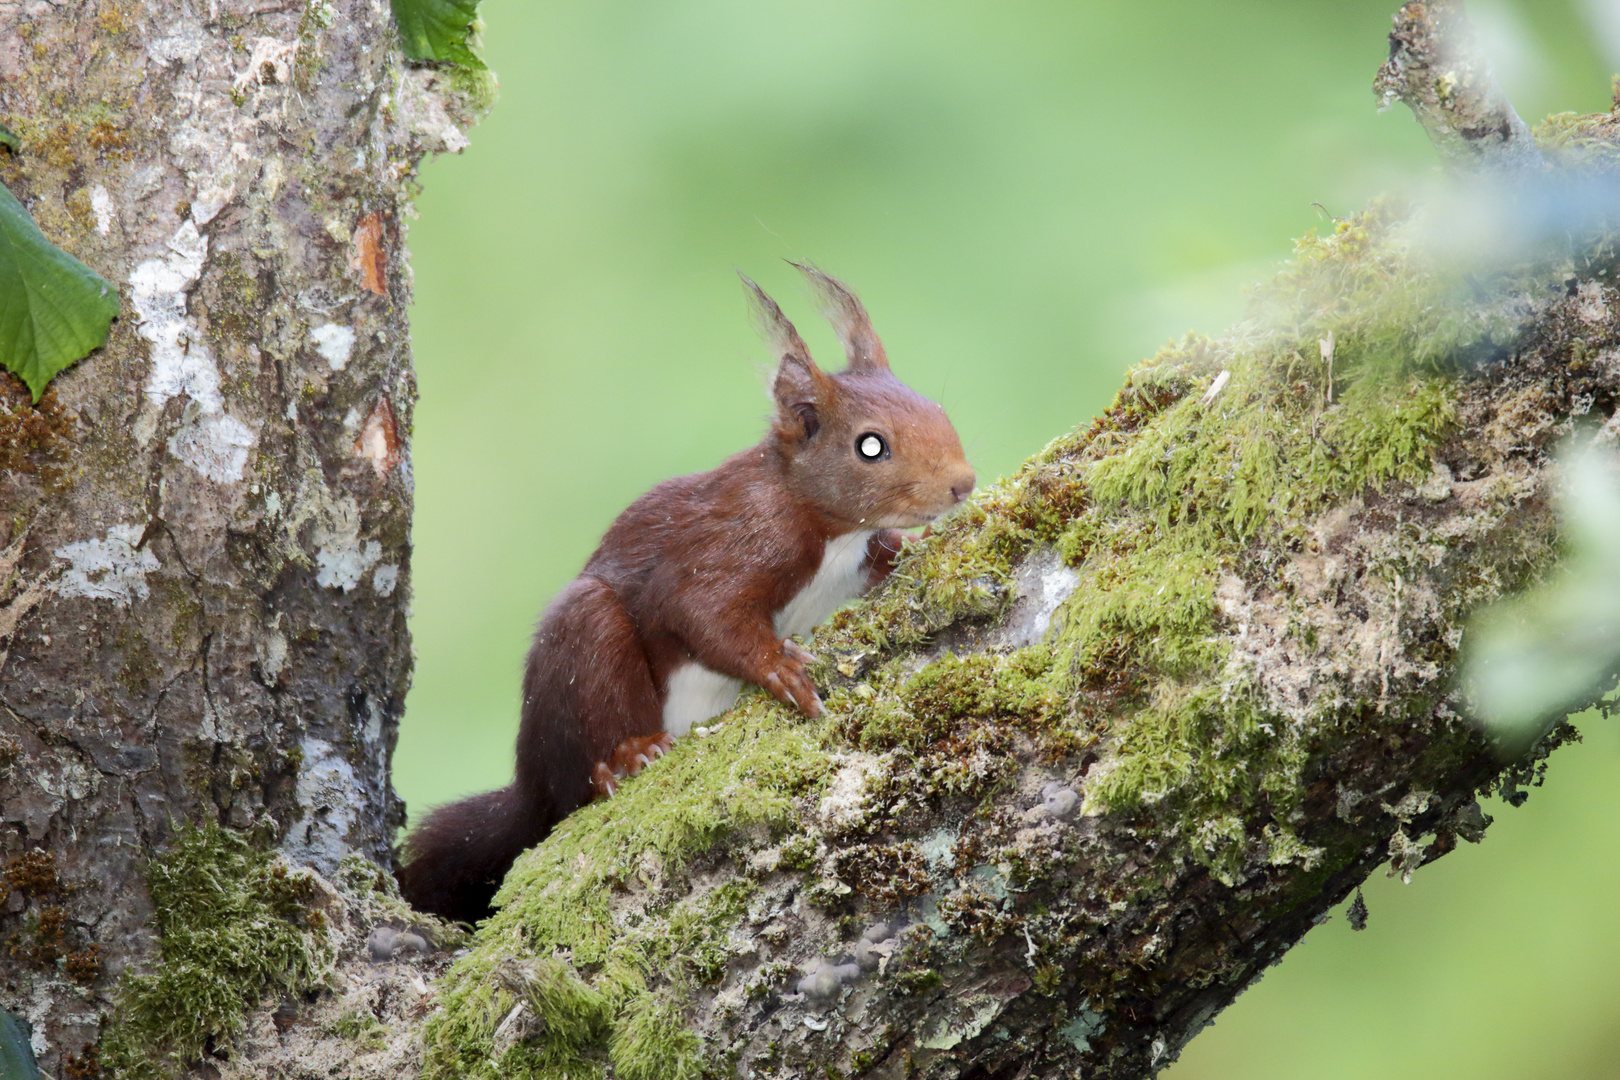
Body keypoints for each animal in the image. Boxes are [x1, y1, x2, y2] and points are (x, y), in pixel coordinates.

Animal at [396, 268, 965, 919]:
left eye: (938, 408)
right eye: (871, 446)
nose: (964, 483)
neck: (830, 532)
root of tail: (528, 787)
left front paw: (910, 547)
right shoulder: (730, 543)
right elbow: (703, 613)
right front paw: (779, 667)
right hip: (582, 661)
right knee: (579, 768)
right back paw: (625, 758)